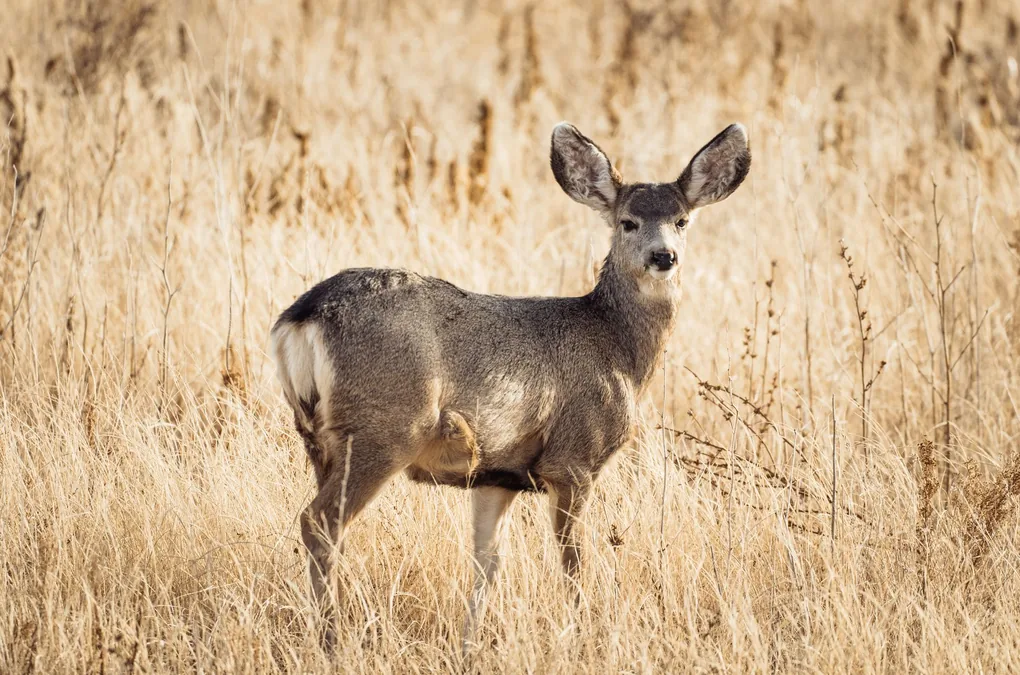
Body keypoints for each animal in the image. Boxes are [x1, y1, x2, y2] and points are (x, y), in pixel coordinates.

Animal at [270, 121, 750, 652]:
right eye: (627, 222)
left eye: (682, 220)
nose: (663, 256)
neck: (616, 349)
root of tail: (302, 317)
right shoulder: (573, 458)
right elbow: (573, 562)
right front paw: (583, 635)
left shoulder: (496, 476)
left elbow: (488, 562)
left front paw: (468, 646)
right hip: (384, 428)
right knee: (319, 522)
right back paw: (332, 641)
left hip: (315, 437)